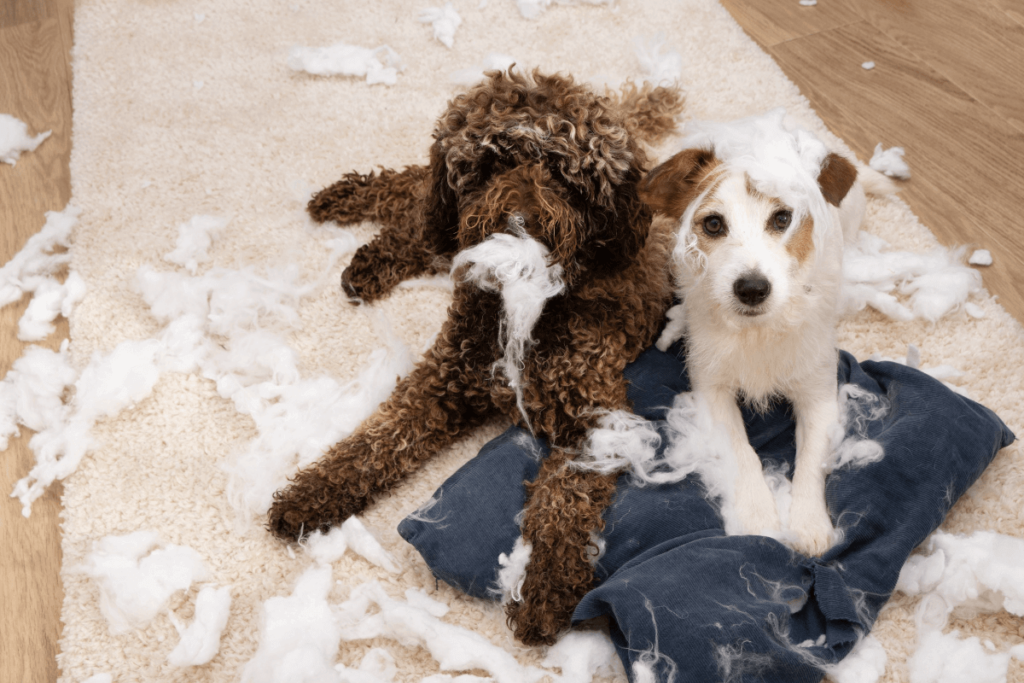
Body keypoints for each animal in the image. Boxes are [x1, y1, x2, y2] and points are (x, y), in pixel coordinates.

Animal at [272, 70, 684, 647]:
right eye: (490, 164)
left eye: (565, 175)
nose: (517, 220)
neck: (522, 309)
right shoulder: (441, 380)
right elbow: (375, 441)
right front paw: (311, 493)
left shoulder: (596, 419)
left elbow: (564, 505)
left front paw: (543, 589)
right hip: (442, 217)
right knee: (415, 193)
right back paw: (350, 210)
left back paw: (367, 252)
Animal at [638, 108, 888, 557]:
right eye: (713, 224)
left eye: (783, 218)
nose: (752, 288)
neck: (756, 331)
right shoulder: (712, 390)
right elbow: (742, 452)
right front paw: (757, 517)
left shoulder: (818, 395)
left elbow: (811, 461)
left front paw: (809, 523)